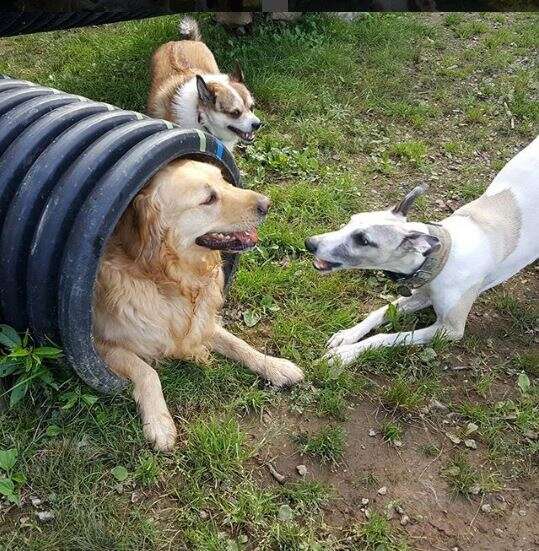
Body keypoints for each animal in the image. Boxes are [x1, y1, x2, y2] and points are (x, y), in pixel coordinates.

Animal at [306, 137, 539, 366]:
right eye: (351, 220)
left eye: (363, 240)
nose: (309, 243)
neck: (442, 256)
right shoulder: (421, 294)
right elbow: (379, 311)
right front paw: (347, 335)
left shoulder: (450, 329)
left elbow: (390, 336)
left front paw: (345, 354)